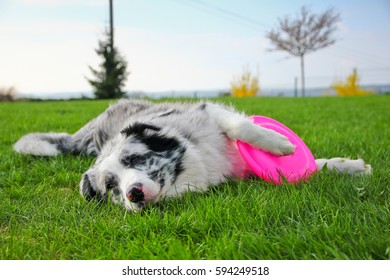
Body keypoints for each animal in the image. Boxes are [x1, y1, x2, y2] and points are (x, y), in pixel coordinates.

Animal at [12, 99, 372, 211]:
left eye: (134, 159)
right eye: (111, 187)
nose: (133, 194)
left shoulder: (211, 114)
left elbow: (243, 127)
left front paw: (279, 145)